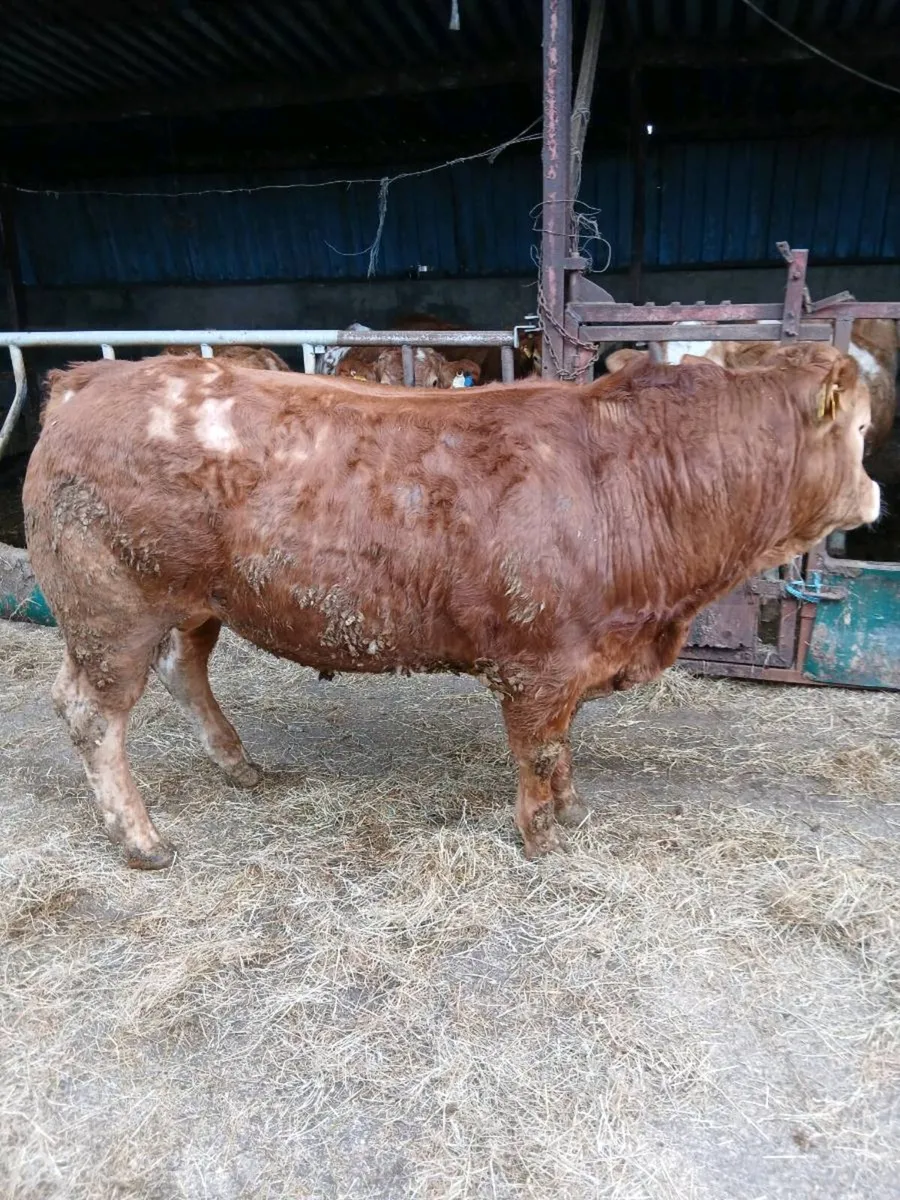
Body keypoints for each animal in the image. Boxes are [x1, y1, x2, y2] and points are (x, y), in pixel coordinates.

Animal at [23, 345, 879, 869]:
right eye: (865, 430)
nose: (874, 495)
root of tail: (89, 381)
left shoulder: (573, 665)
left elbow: (563, 748)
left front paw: (571, 812)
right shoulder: (537, 665)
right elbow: (539, 752)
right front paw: (542, 838)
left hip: (195, 603)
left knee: (182, 670)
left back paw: (239, 766)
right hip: (111, 609)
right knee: (93, 712)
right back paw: (140, 838)